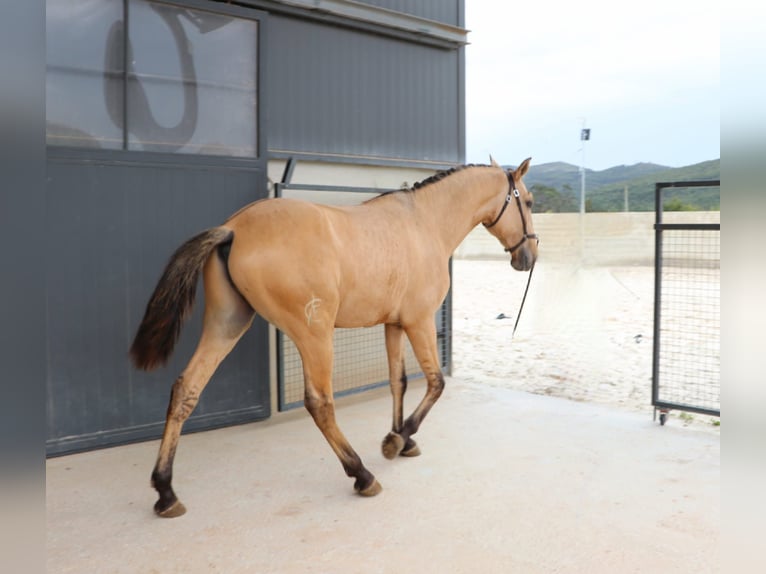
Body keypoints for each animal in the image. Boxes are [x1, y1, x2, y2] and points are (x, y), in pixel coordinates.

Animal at [130, 156, 540, 516]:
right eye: (529, 201)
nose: (530, 257)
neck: (423, 222)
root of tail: (234, 229)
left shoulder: (393, 325)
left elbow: (398, 382)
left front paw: (402, 440)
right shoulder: (419, 322)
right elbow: (436, 383)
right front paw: (397, 439)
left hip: (226, 324)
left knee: (187, 389)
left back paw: (166, 492)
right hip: (314, 334)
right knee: (320, 403)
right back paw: (362, 475)